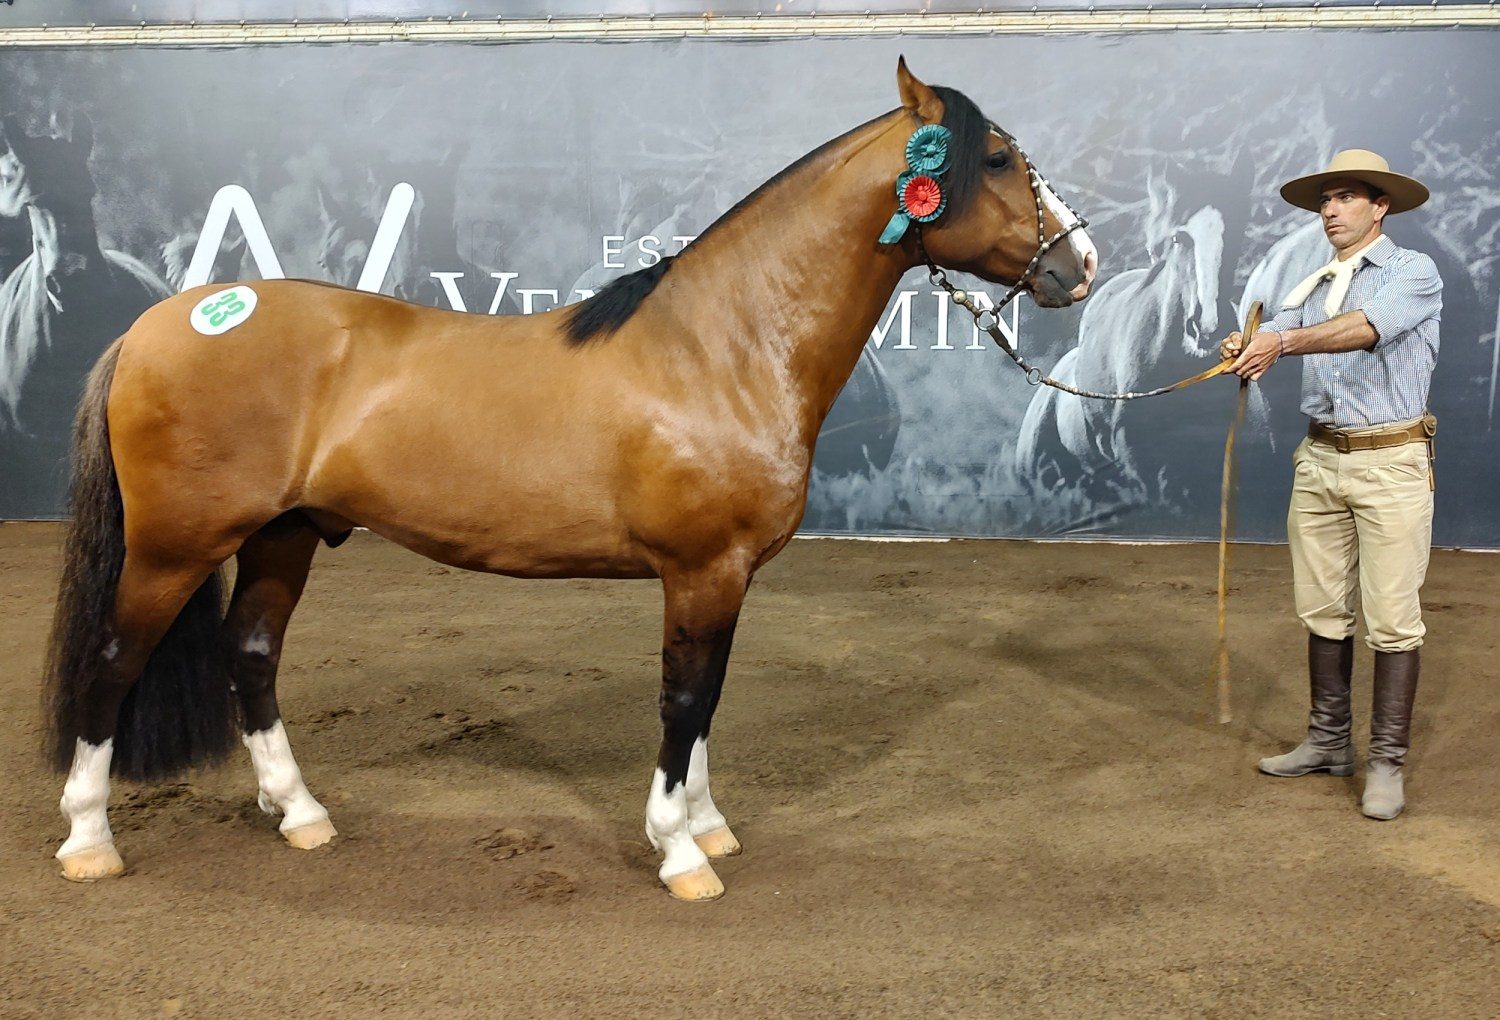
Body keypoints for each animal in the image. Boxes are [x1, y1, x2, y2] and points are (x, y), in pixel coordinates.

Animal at [46, 59, 1098, 894]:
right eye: (996, 160)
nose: (1080, 262)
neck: (719, 349)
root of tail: (153, 327)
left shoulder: (725, 578)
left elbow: (708, 700)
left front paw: (710, 826)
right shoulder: (700, 570)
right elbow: (683, 701)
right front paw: (680, 853)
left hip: (284, 536)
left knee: (252, 655)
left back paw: (302, 815)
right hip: (175, 548)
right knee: (112, 663)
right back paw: (90, 840)